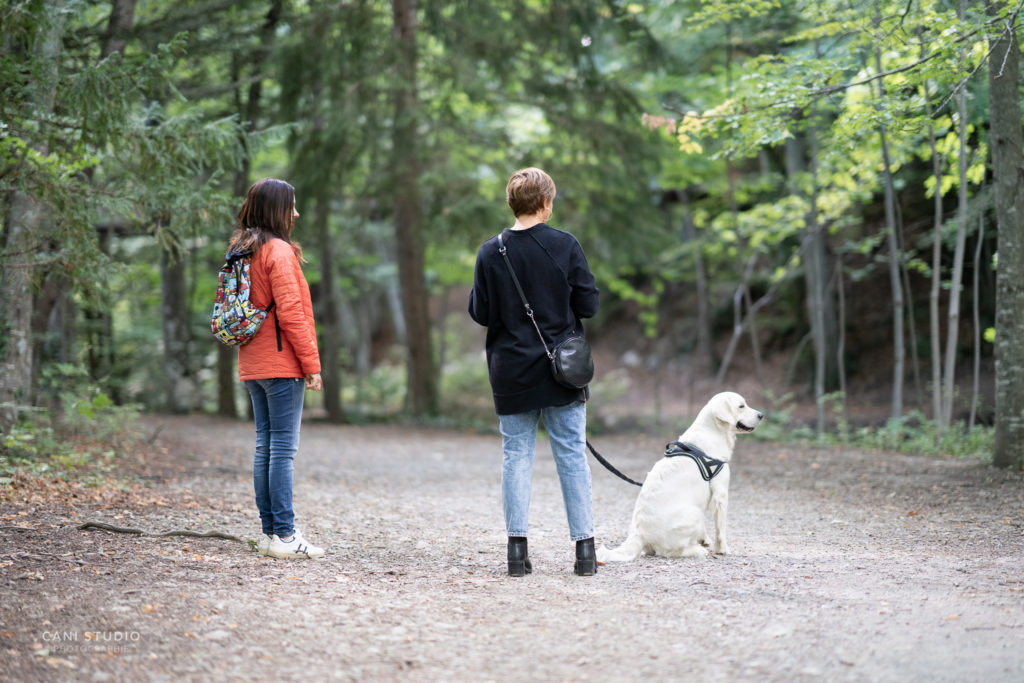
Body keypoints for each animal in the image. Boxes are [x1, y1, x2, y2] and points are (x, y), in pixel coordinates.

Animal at [598, 393, 761, 565]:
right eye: (741, 406)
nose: (761, 415)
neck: (713, 433)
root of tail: (638, 534)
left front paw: (705, 539)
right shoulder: (720, 495)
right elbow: (721, 529)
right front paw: (722, 550)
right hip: (694, 513)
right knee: (669, 551)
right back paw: (697, 550)